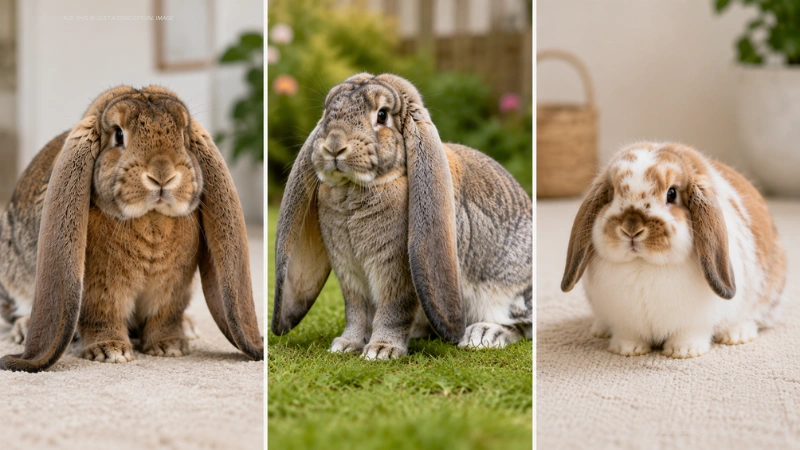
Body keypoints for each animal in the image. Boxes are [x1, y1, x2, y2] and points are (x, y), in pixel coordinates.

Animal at [0, 86, 263, 372]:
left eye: (183, 135)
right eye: (118, 135)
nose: (162, 175)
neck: (151, 218)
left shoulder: (173, 288)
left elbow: (165, 317)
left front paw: (170, 347)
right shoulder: (99, 290)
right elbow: (102, 317)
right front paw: (111, 351)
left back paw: (188, 327)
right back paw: (23, 328)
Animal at [271, 73, 532, 360]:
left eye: (382, 115)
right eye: (328, 111)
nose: (334, 147)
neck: (354, 188)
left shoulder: (397, 270)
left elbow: (393, 309)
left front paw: (380, 350)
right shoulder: (350, 274)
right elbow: (357, 311)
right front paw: (346, 345)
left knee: (521, 325)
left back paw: (483, 334)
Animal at [562, 142, 786, 358]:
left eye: (671, 193)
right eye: (613, 193)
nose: (631, 228)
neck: (643, 265)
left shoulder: (694, 324)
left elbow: (688, 335)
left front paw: (684, 351)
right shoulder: (625, 323)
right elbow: (629, 335)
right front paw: (627, 349)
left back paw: (737, 335)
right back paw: (599, 330)